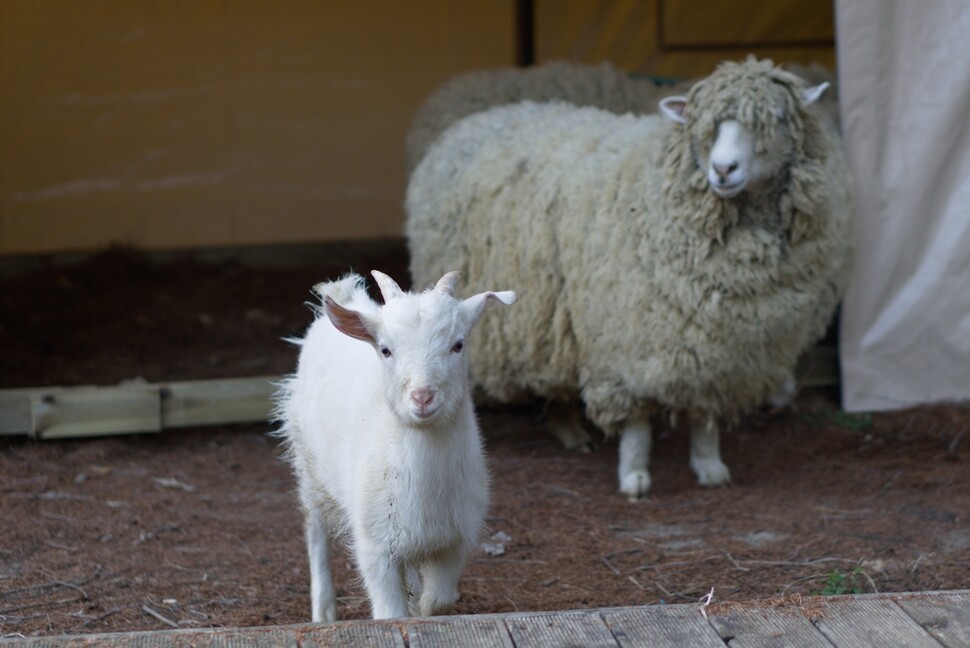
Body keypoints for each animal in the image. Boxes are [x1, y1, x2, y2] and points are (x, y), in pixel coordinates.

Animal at [272, 270, 516, 620]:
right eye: (385, 350)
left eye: (458, 344)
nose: (422, 397)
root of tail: (345, 295)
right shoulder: (374, 548)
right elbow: (390, 614)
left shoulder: (454, 542)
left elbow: (438, 600)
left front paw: (422, 608)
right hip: (308, 465)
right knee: (315, 530)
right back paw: (323, 611)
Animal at [404, 57, 852, 502]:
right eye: (702, 126)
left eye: (775, 118)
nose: (723, 169)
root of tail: (474, 122)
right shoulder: (626, 338)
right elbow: (636, 423)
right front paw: (634, 475)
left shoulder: (714, 343)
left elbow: (704, 413)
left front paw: (709, 465)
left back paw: (570, 429)